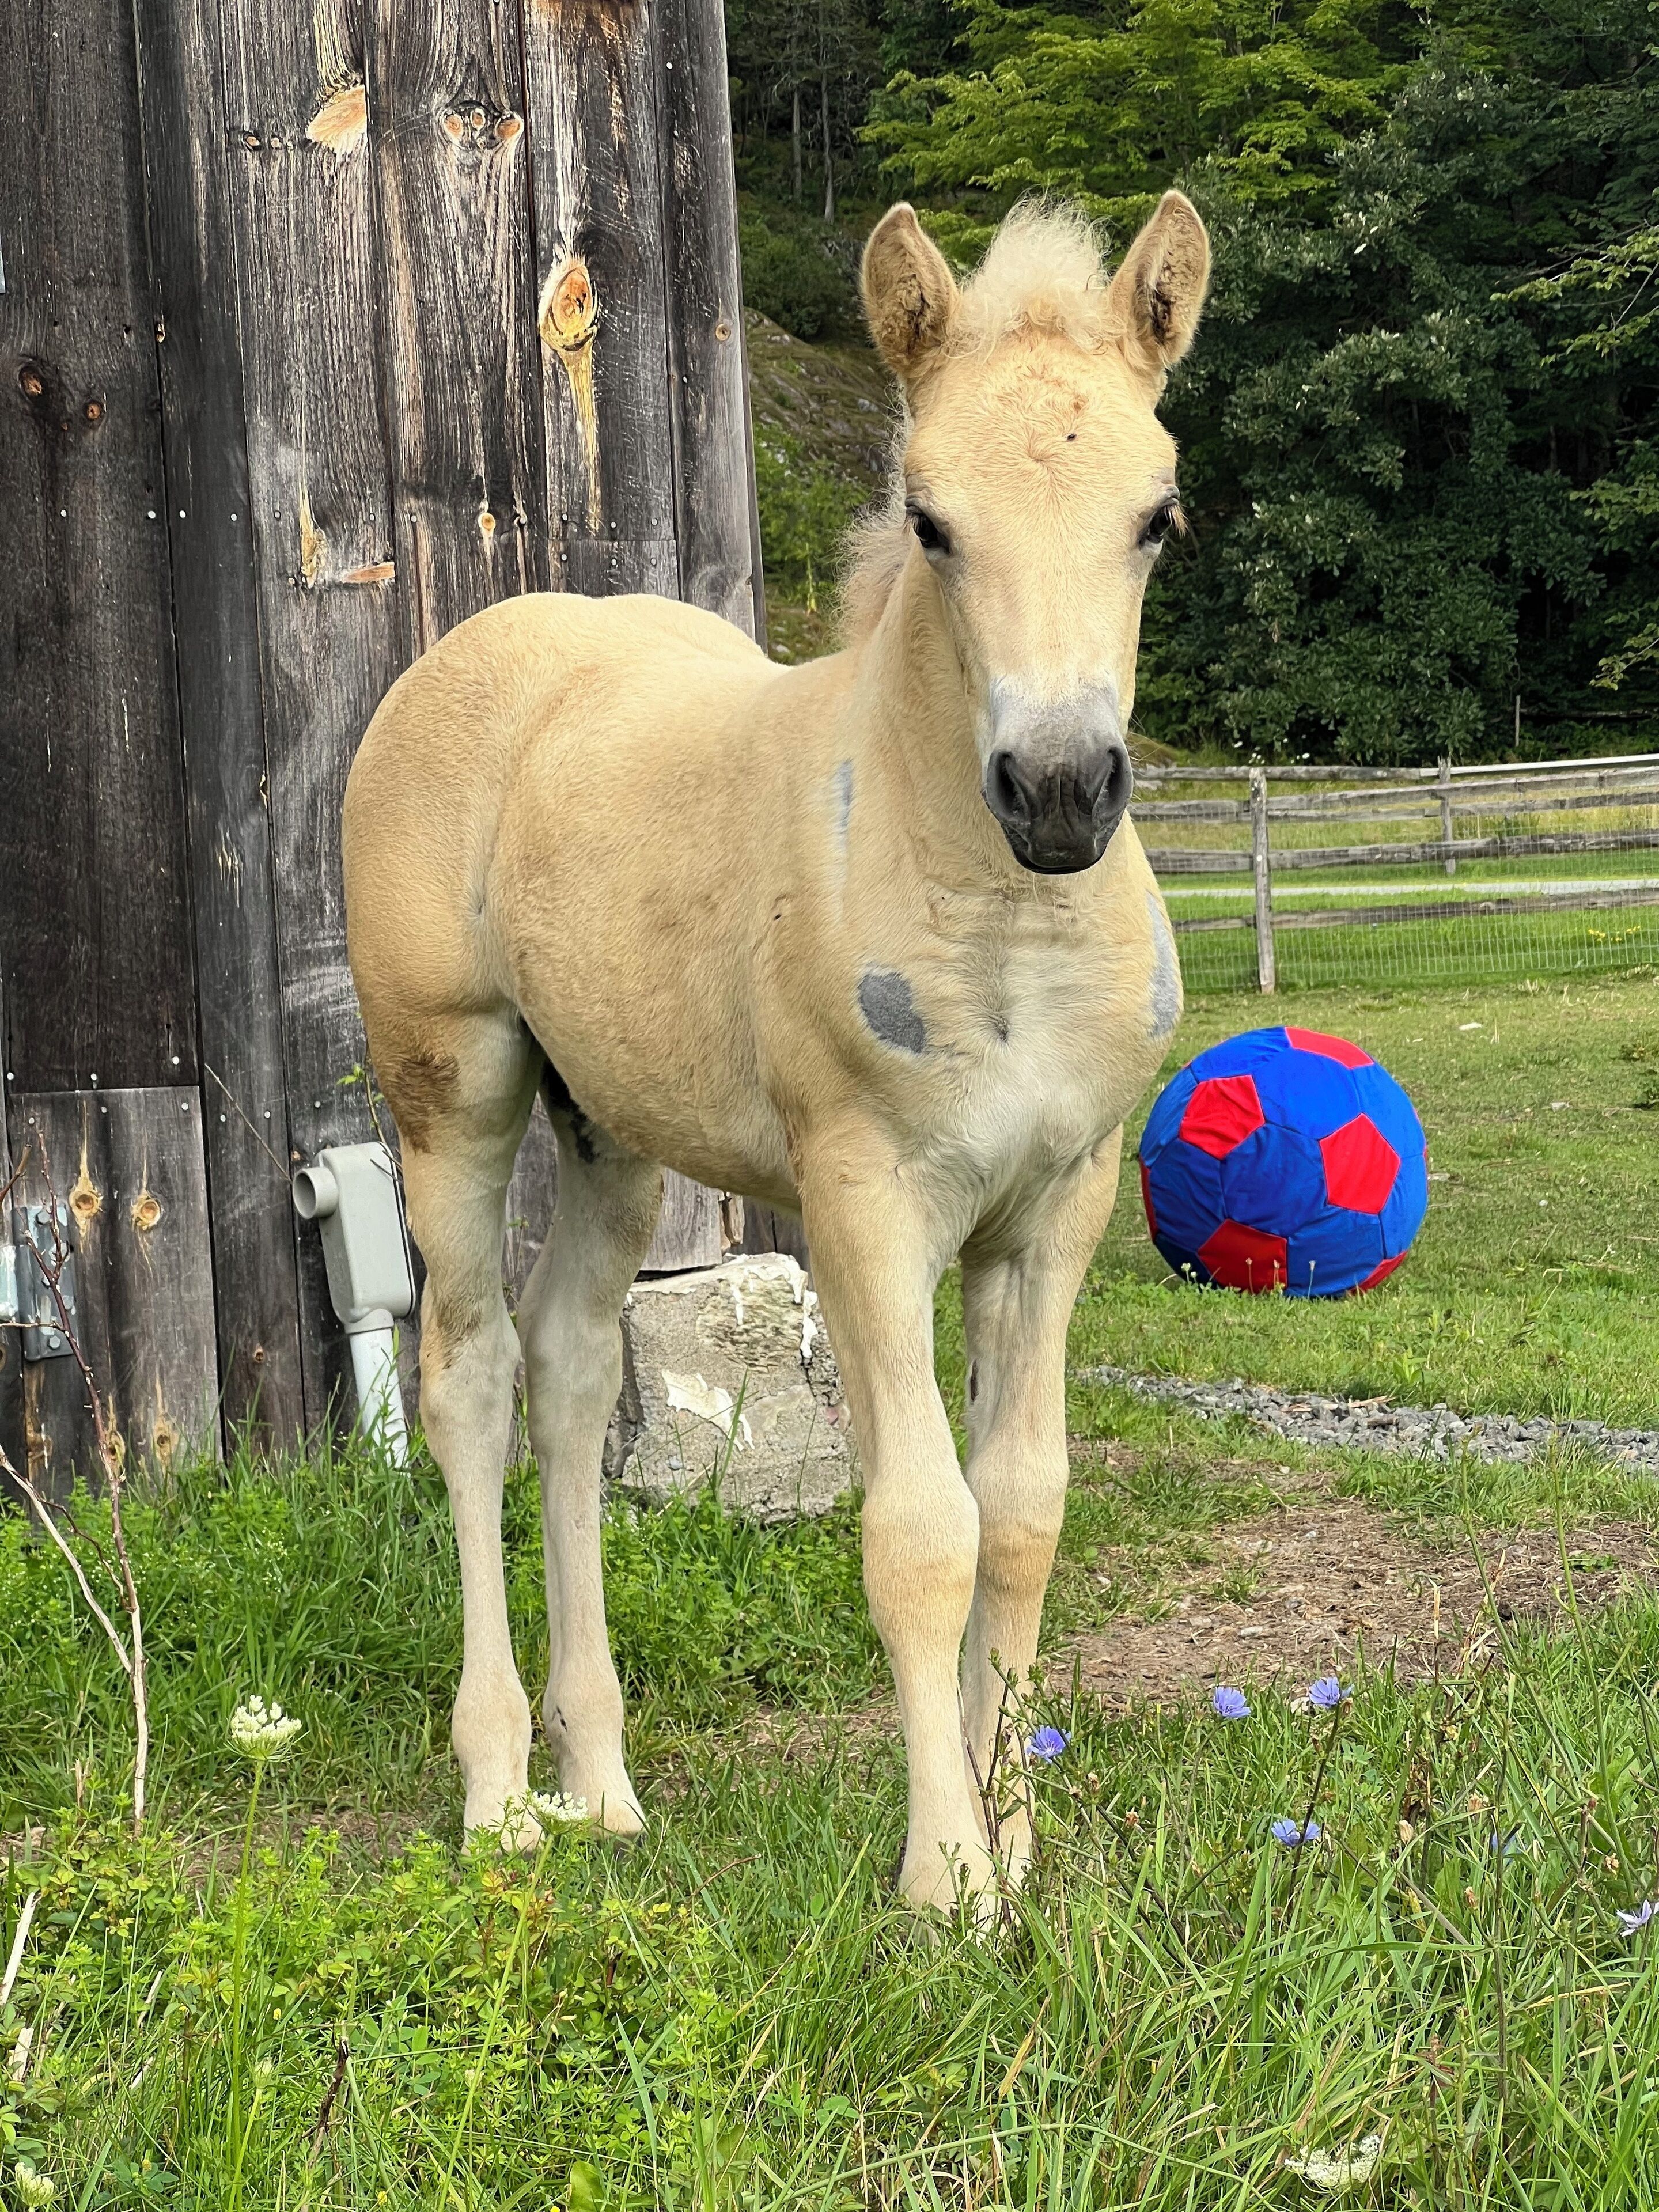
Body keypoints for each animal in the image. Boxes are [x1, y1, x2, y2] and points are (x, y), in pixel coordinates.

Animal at [343, 191, 1210, 1913]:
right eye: (930, 521)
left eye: (1157, 516)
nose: (1060, 790)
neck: (1000, 924)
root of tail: (480, 648)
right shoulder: (864, 1203)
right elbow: (921, 1530)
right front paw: (947, 1883)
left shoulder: (1055, 1210)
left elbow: (1024, 1512)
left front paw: (1020, 1847)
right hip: (452, 1088)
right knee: (469, 1381)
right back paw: (498, 1795)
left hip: (610, 1127)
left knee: (569, 1371)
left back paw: (603, 1782)